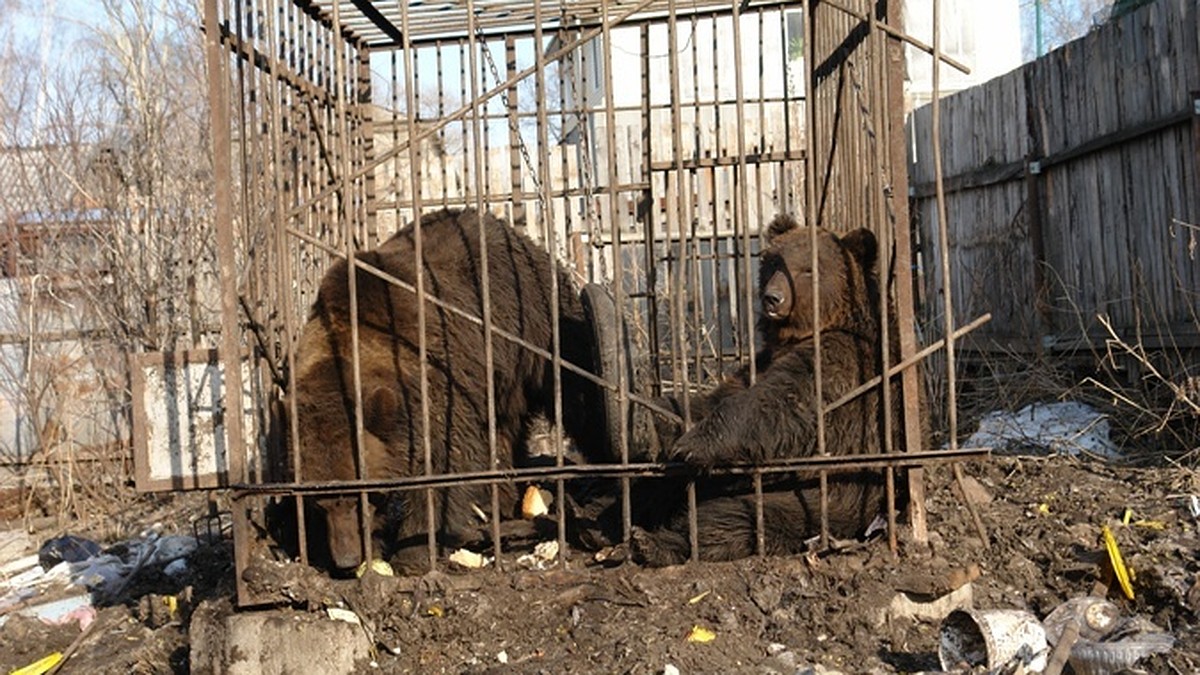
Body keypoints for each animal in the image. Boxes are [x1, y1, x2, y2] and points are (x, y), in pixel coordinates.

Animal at [290, 207, 600, 569]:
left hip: (537, 323)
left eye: (360, 496)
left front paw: (413, 551)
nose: (346, 559)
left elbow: (445, 466)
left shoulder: (442, 381)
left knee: (578, 390)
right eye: (319, 503)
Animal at [628, 213, 907, 562]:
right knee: (660, 485)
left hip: (828, 495)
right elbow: (711, 400)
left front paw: (694, 444)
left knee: (738, 517)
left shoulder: (846, 363)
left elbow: (782, 402)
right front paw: (649, 414)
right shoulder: (760, 361)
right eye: (774, 261)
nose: (773, 297)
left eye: (808, 268)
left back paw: (652, 542)